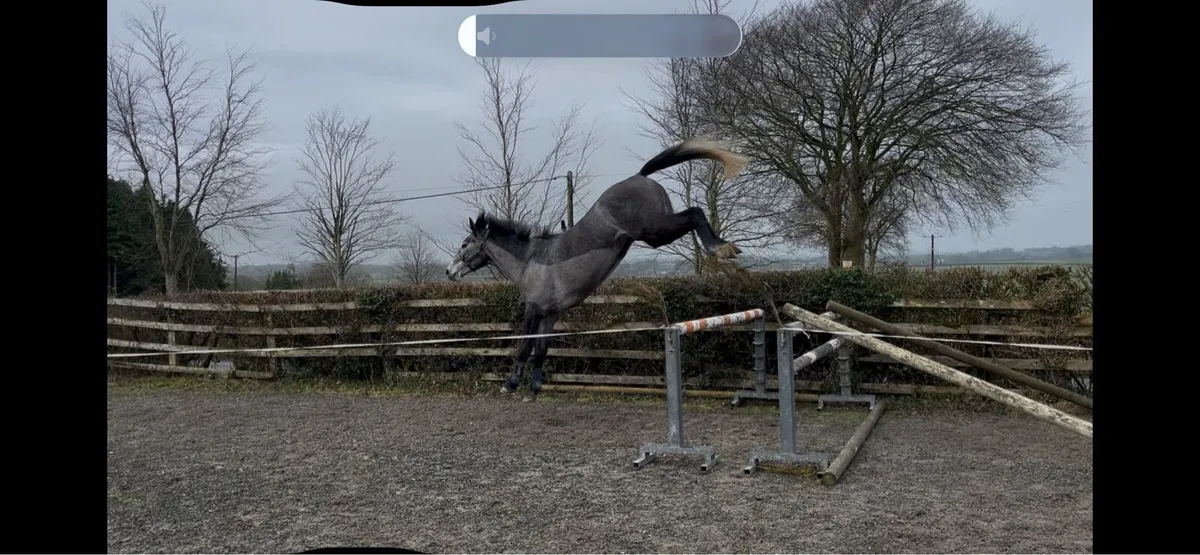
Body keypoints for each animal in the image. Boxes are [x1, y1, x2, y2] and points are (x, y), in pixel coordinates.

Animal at [444, 137, 748, 401]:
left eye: (464, 244)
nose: (449, 272)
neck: (529, 261)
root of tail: (640, 176)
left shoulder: (533, 309)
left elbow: (524, 346)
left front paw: (510, 384)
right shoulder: (549, 314)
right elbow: (540, 351)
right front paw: (533, 391)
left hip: (654, 231)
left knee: (695, 213)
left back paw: (719, 249)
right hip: (657, 231)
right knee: (695, 214)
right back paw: (727, 248)